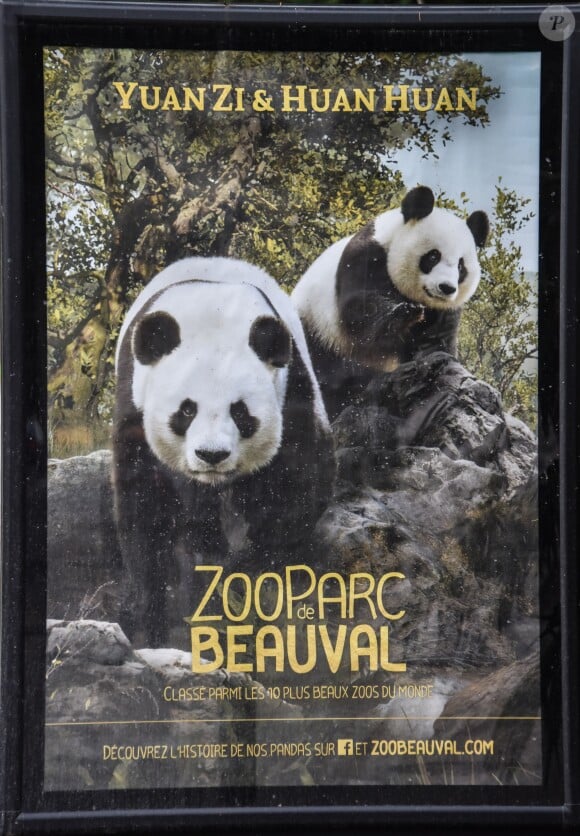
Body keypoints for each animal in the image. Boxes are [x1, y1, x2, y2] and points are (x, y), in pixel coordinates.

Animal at [113, 257, 334, 647]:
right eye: (187, 410)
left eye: (240, 412)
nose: (211, 455)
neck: (210, 309)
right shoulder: (135, 407)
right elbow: (144, 508)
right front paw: (154, 619)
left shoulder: (291, 390)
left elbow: (294, 489)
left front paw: (248, 578)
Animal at [291, 186, 489, 421]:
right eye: (433, 257)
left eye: (461, 267)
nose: (446, 288)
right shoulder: (367, 256)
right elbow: (359, 311)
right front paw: (405, 314)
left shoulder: (445, 310)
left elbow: (434, 342)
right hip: (316, 330)